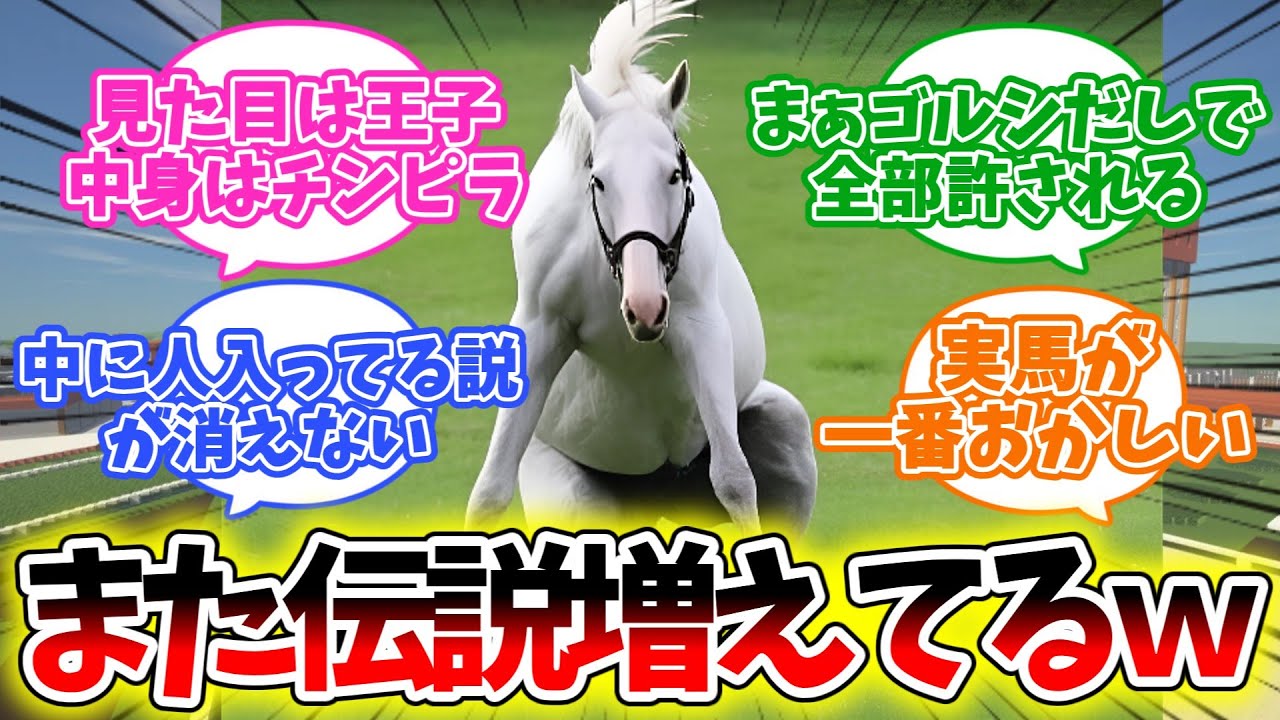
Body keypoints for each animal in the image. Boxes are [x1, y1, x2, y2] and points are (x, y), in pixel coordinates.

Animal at [463, 0, 817, 534]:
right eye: (598, 178)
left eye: (673, 174)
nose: (644, 308)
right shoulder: (540, 329)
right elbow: (489, 490)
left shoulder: (700, 329)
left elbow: (734, 479)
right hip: (575, 496)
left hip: (785, 424)